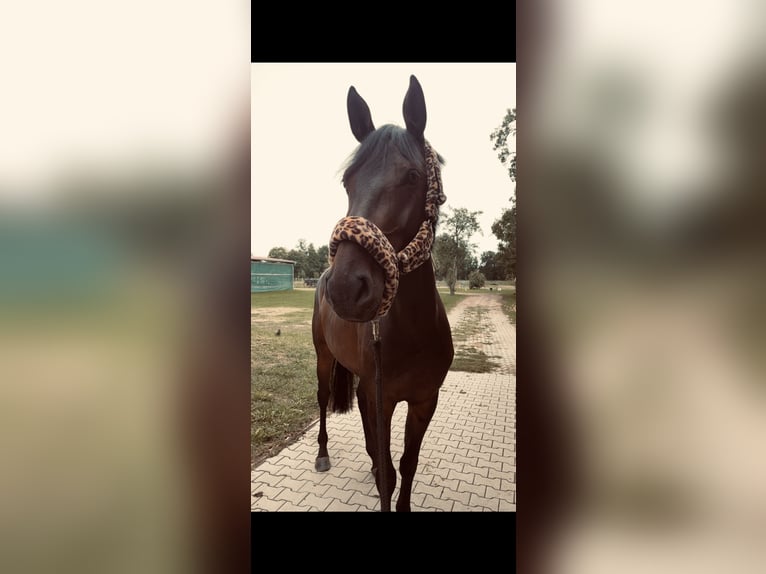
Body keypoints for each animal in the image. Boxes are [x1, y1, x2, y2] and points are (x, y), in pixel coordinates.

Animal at [311, 75, 454, 512]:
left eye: (412, 177)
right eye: (347, 181)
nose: (345, 287)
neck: (415, 329)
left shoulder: (424, 400)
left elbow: (407, 465)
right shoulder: (385, 399)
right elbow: (391, 471)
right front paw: (380, 475)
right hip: (323, 358)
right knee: (323, 397)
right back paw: (323, 454)